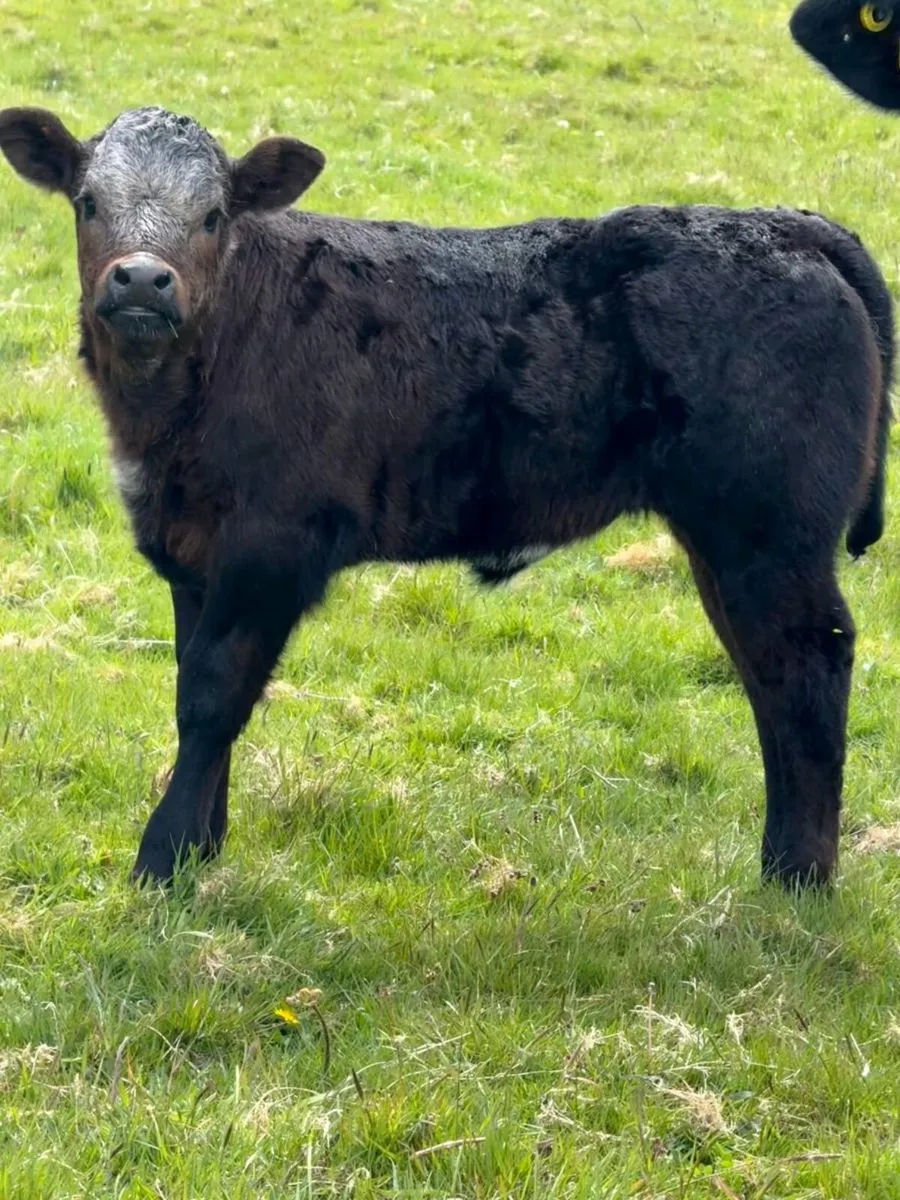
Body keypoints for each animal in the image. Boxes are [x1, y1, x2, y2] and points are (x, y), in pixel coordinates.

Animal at [0, 105, 893, 889]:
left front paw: (162, 861)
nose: (142, 280)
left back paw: (799, 878)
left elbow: (212, 696)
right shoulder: (194, 551)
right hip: (728, 540)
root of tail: (784, 225)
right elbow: (194, 683)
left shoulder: (270, 547)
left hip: (768, 532)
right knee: (768, 673)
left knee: (810, 660)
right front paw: (201, 847)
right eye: (88, 201)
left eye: (214, 214)